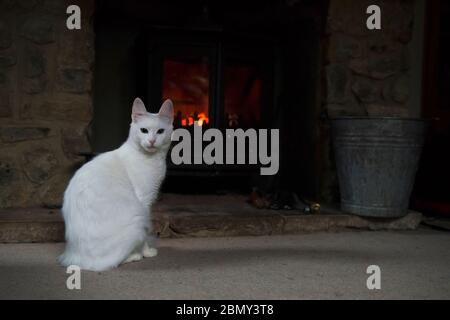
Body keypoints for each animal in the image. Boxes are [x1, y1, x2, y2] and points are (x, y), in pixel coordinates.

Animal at [58, 99, 174, 272]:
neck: (152, 159)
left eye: (160, 131)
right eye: (144, 130)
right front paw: (146, 252)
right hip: (137, 219)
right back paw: (135, 255)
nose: (152, 141)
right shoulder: (144, 202)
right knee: (112, 262)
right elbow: (147, 232)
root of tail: (76, 258)